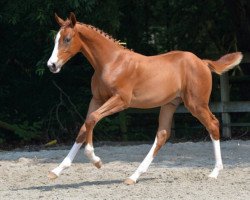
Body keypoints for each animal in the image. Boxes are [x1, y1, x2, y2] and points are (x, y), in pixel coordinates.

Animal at [47, 12, 242, 184]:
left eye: (67, 39)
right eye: (55, 39)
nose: (52, 65)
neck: (111, 62)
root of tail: (202, 62)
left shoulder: (121, 100)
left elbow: (92, 119)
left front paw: (96, 161)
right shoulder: (96, 99)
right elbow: (84, 126)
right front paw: (56, 170)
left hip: (196, 103)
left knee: (213, 124)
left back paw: (215, 172)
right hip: (170, 104)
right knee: (162, 134)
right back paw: (134, 176)